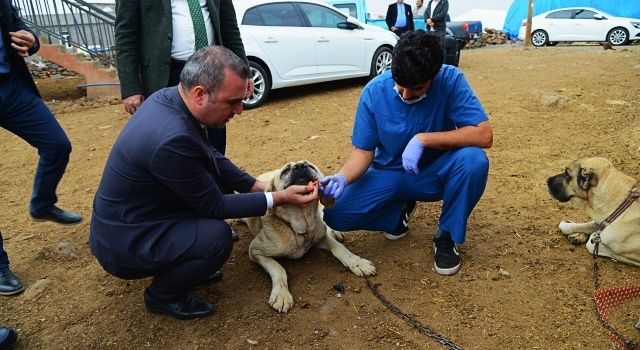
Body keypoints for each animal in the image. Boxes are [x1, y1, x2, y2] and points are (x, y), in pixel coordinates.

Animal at [245, 161, 376, 312]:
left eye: (310, 166)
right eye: (285, 171)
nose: (300, 166)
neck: (301, 226)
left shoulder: (320, 236)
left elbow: (339, 248)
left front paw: (357, 262)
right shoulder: (255, 251)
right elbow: (278, 268)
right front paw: (281, 294)